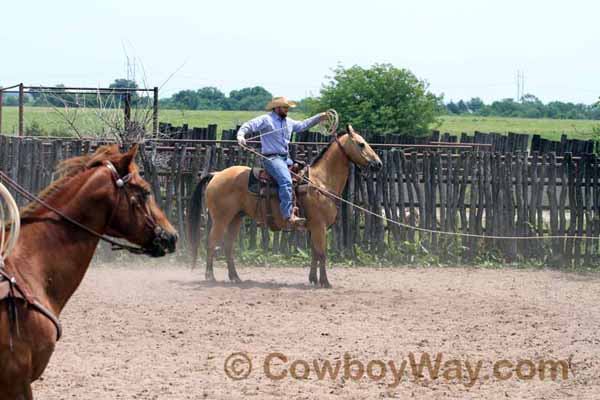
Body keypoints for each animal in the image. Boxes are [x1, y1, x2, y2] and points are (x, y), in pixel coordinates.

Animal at [190, 125, 382, 288]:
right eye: (361, 144)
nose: (378, 164)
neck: (320, 182)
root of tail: (216, 174)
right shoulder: (319, 226)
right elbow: (322, 253)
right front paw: (325, 282)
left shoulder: (314, 228)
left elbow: (314, 253)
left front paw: (313, 279)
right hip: (221, 219)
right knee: (211, 242)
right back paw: (210, 276)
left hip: (236, 218)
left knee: (228, 246)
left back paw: (235, 277)